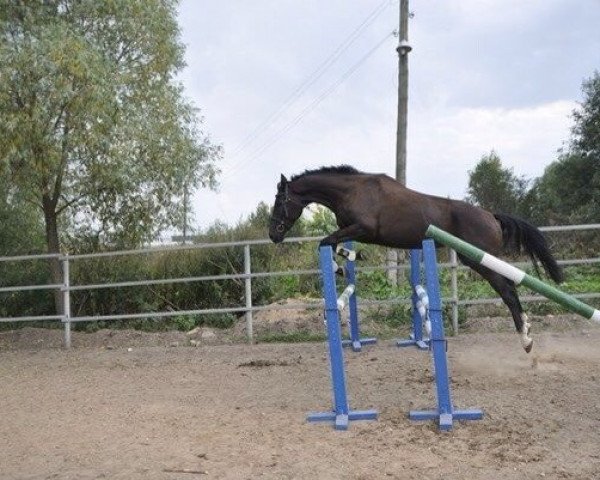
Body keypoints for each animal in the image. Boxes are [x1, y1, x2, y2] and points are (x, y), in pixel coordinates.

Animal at [270, 165, 564, 352]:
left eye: (279, 201)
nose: (273, 234)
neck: (352, 191)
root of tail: (491, 216)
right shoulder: (353, 231)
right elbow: (333, 244)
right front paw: (351, 257)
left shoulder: (363, 228)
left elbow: (325, 242)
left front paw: (341, 266)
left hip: (480, 260)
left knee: (509, 290)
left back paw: (526, 339)